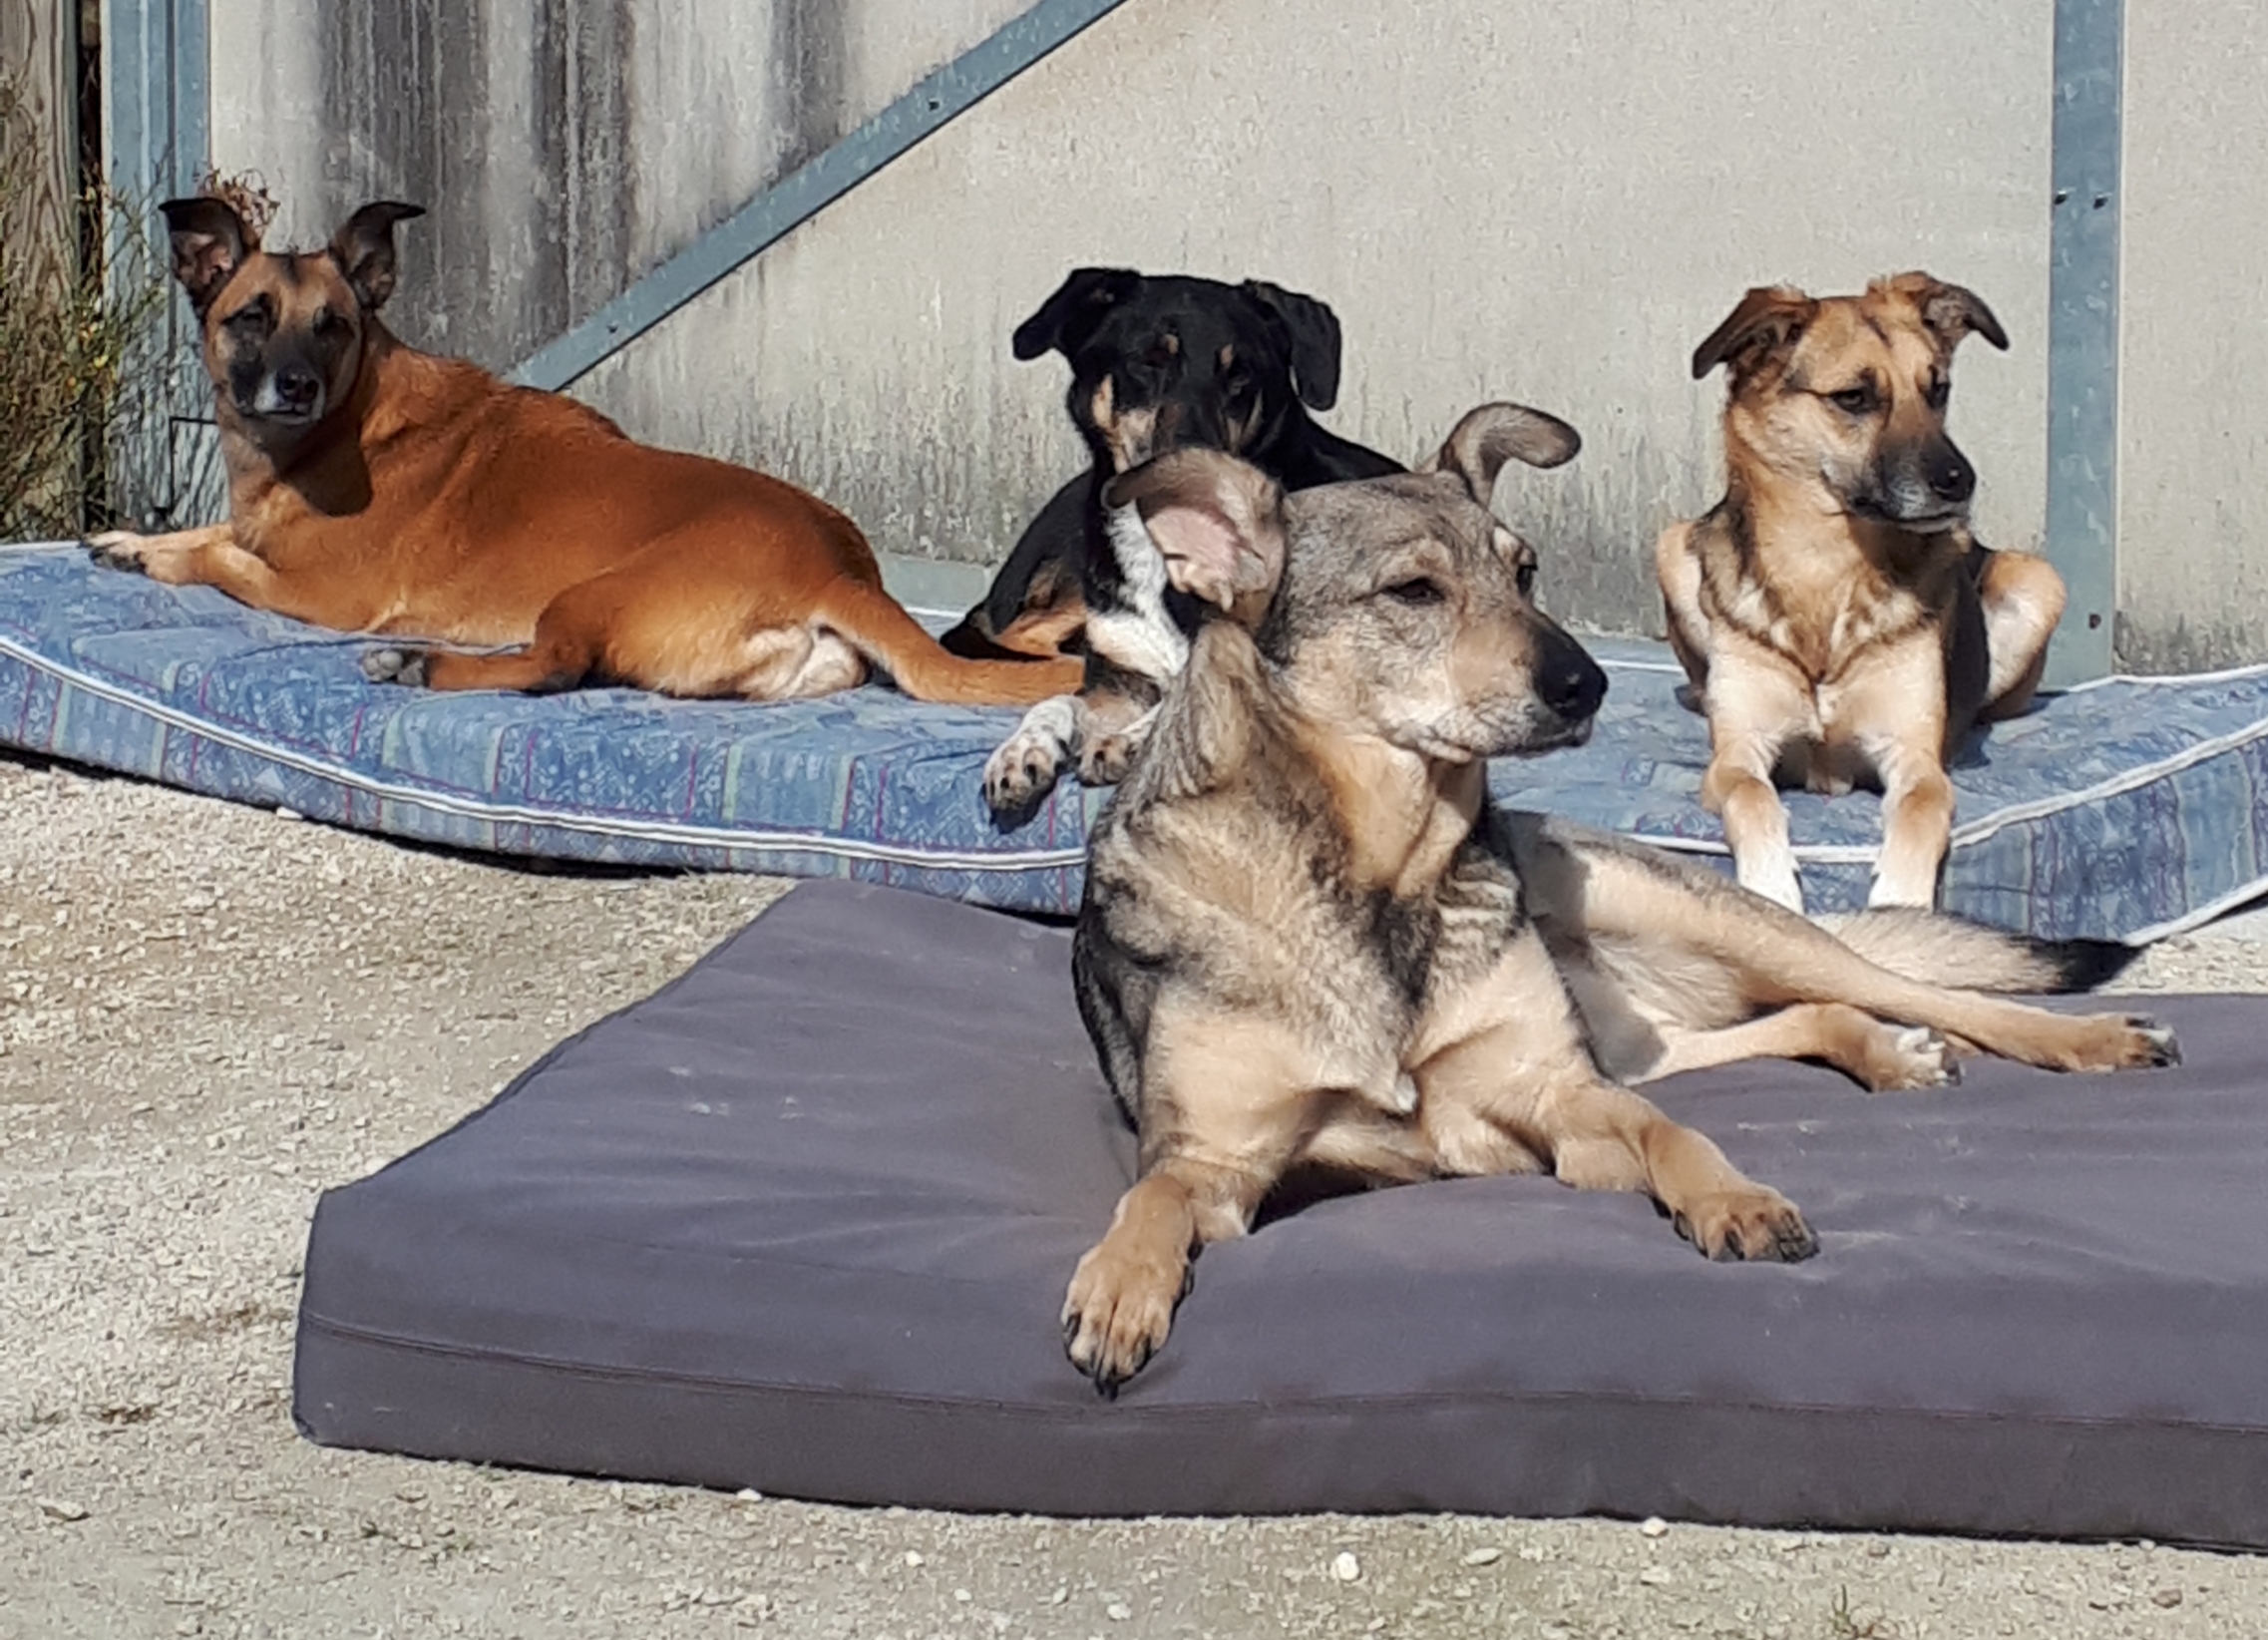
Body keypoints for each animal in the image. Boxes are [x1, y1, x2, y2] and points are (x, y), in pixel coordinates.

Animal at [84, 196, 1081, 709]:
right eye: (251, 317)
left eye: (332, 326)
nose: (293, 387)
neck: (338, 426)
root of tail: (836, 570)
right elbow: (211, 534)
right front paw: (132, 542)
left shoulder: (326, 596)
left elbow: (221, 560)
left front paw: (163, 557)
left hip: (585, 594)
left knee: (554, 666)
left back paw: (422, 665)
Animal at [950, 269, 1408, 817]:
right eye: (1148, 361)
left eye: (1240, 375)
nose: (1194, 458)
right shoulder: (1121, 681)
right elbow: (1059, 705)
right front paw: (1021, 751)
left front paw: (1128, 742)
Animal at [1059, 402, 2175, 1393]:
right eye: (1413, 591)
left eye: (1524, 572)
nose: (1586, 683)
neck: (1383, 873)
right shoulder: (1217, 1159)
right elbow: (1151, 1199)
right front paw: (1118, 1285)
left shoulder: (1563, 1098)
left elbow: (1673, 1136)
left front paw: (1736, 1200)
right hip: (1644, 1037)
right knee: (1806, 1016)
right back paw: (1889, 1053)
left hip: (1709, 922)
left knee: (1911, 987)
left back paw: (2077, 1038)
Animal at [1656, 273, 2068, 913]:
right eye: (1853, 397)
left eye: (1938, 389)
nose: (1960, 482)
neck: (1824, 566)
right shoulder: (1738, 753)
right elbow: (1752, 797)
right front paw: (1773, 891)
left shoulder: (1915, 760)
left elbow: (1921, 811)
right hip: (1673, 547)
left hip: (2037, 580)